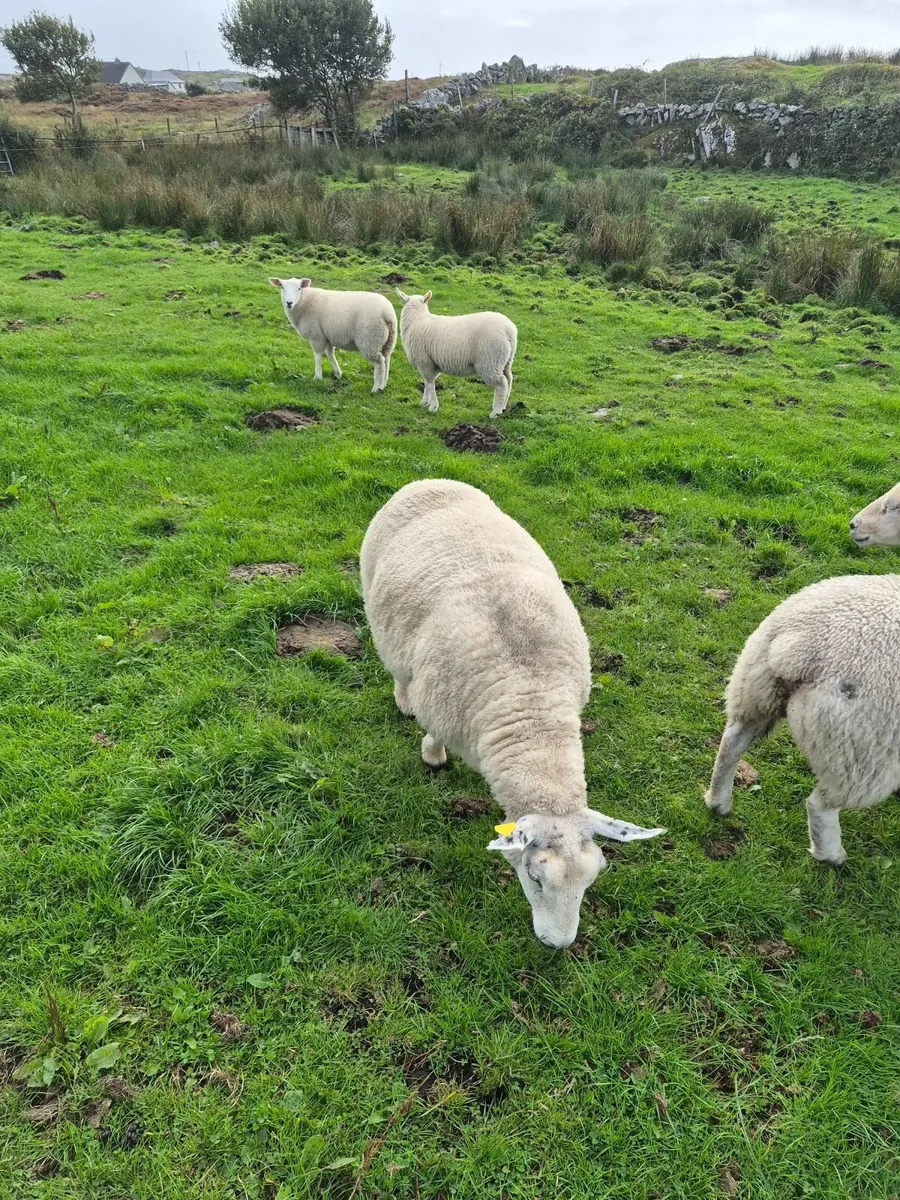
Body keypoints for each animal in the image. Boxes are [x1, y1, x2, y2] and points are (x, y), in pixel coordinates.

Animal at [269, 277, 397, 393]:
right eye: (282, 287)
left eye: (299, 288)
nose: (289, 303)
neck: (304, 302)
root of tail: (387, 314)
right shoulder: (327, 336)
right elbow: (330, 354)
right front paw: (337, 373)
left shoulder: (316, 336)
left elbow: (317, 356)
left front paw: (318, 376)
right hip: (388, 340)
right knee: (386, 360)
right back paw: (384, 384)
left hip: (370, 339)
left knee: (379, 362)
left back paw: (377, 388)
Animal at [361, 478, 665, 948]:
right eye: (535, 879)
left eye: (591, 880)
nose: (558, 944)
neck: (532, 711)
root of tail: (430, 480)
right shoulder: (441, 706)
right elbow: (434, 735)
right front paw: (433, 757)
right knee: (397, 669)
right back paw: (403, 700)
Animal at [395, 290, 517, 419]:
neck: (417, 320)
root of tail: (509, 330)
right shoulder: (428, 364)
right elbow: (427, 383)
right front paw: (425, 401)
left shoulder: (425, 362)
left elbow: (430, 383)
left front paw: (433, 406)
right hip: (505, 360)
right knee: (509, 380)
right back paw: (503, 406)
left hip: (490, 361)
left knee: (501, 384)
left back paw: (495, 412)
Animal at [705, 574, 900, 864]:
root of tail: (799, 643)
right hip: (861, 748)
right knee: (820, 805)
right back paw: (832, 855)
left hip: (754, 690)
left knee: (731, 744)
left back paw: (718, 802)